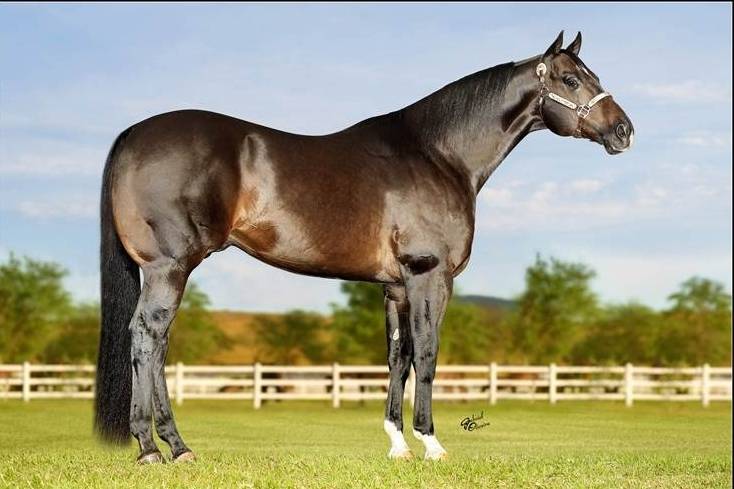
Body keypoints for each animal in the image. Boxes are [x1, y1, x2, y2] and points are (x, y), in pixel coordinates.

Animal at [94, 31, 634, 463]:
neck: (438, 155)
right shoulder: (428, 275)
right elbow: (428, 354)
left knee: (157, 343)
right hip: (169, 266)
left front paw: (397, 445)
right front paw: (431, 444)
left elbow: (398, 358)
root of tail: (132, 134)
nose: (624, 130)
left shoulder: (394, 287)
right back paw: (152, 448)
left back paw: (176, 447)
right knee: (147, 337)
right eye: (570, 79)